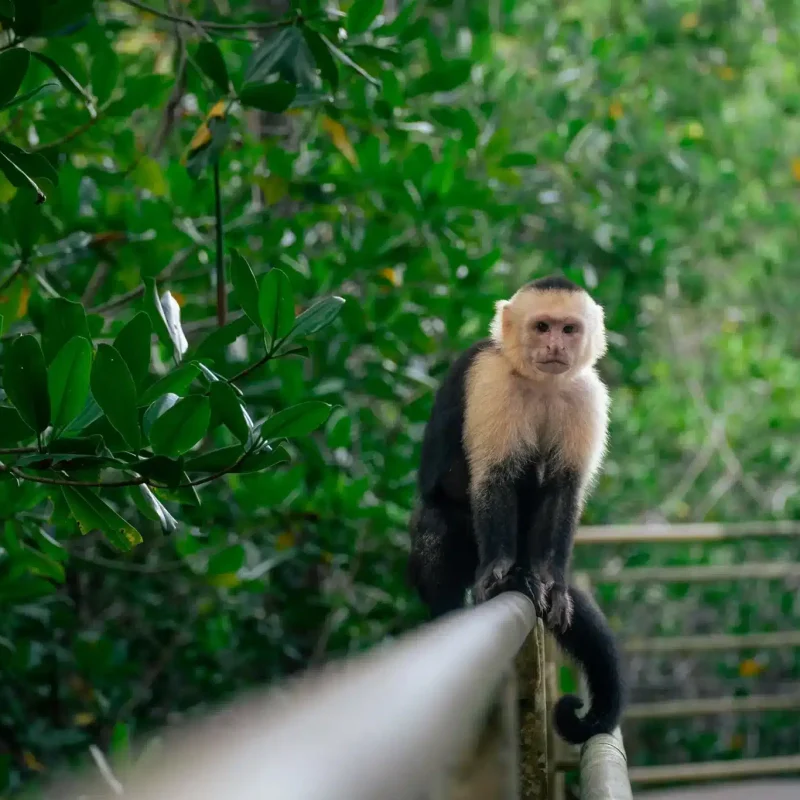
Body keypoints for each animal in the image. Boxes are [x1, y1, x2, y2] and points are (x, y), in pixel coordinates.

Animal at [406, 276, 624, 744]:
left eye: (568, 329)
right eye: (541, 326)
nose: (555, 346)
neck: (540, 381)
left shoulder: (587, 393)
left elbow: (563, 490)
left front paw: (551, 583)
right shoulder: (492, 378)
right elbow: (495, 477)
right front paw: (499, 572)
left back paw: (532, 575)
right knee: (437, 520)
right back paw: (456, 609)